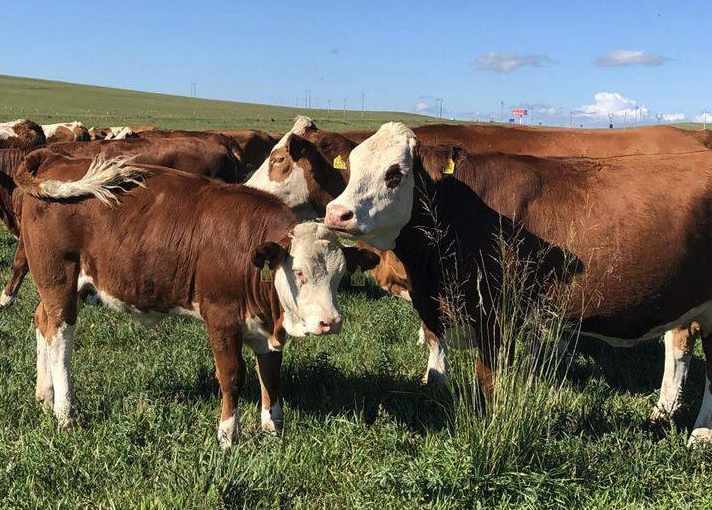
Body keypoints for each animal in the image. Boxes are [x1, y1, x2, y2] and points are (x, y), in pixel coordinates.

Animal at [326, 121, 712, 444]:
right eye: (352, 167)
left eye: (395, 173)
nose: (336, 213)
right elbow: (439, 367)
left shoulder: (495, 315)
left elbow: (487, 381)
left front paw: (486, 425)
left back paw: (700, 436)